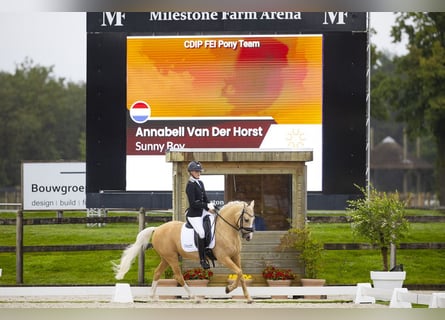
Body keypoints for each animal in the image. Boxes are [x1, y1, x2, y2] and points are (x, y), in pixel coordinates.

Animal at [112, 200, 255, 302]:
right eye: (246, 219)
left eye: (253, 219)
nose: (249, 237)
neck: (225, 229)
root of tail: (157, 228)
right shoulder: (223, 257)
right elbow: (239, 272)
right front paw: (228, 289)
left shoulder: (236, 256)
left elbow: (241, 274)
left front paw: (247, 297)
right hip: (171, 257)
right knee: (178, 276)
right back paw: (194, 297)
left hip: (166, 258)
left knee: (157, 273)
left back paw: (152, 297)